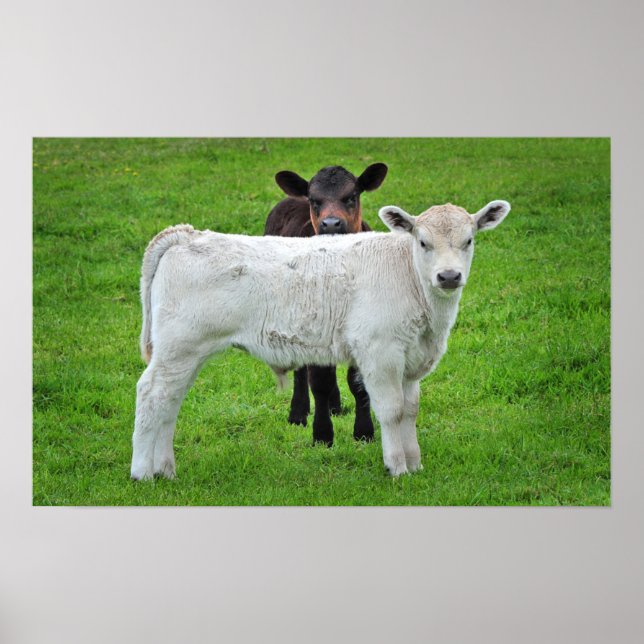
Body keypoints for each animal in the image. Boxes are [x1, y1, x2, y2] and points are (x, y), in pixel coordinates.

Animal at [131, 199, 511, 481]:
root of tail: (186, 234)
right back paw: (143, 473)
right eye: (423, 242)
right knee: (151, 395)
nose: (449, 276)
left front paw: (415, 463)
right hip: (179, 348)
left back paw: (166, 470)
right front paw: (397, 467)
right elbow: (391, 410)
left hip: (184, 353)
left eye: (468, 241)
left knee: (169, 402)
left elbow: (411, 410)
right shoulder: (380, 353)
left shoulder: (412, 361)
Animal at [264, 163, 388, 446]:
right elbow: (319, 381)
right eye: (314, 199)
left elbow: (358, 382)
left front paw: (364, 432)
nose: (331, 223)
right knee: (302, 369)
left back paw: (335, 405)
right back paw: (298, 413)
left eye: (352, 195)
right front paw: (322, 434)